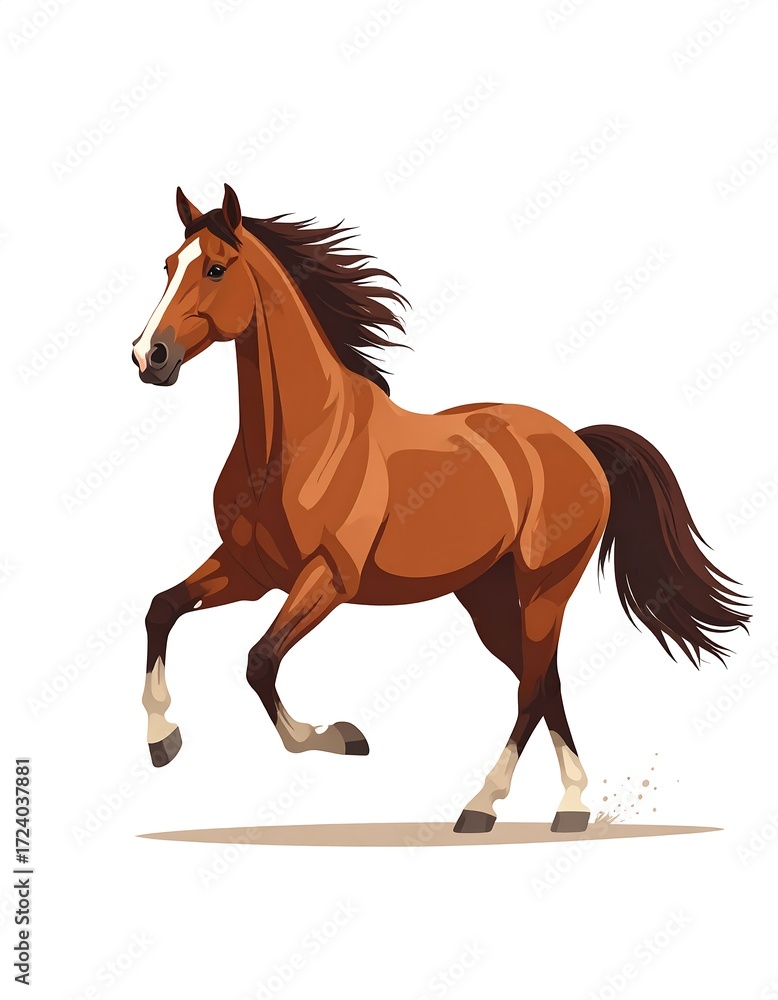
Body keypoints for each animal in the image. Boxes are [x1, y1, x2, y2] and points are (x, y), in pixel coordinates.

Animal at [132, 185, 748, 834]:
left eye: (216, 268)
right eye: (168, 265)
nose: (149, 356)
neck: (296, 443)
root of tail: (578, 442)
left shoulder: (329, 577)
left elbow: (259, 660)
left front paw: (337, 737)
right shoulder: (250, 571)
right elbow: (161, 609)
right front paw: (162, 739)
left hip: (544, 588)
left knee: (532, 688)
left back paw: (484, 806)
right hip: (487, 596)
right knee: (544, 680)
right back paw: (572, 805)